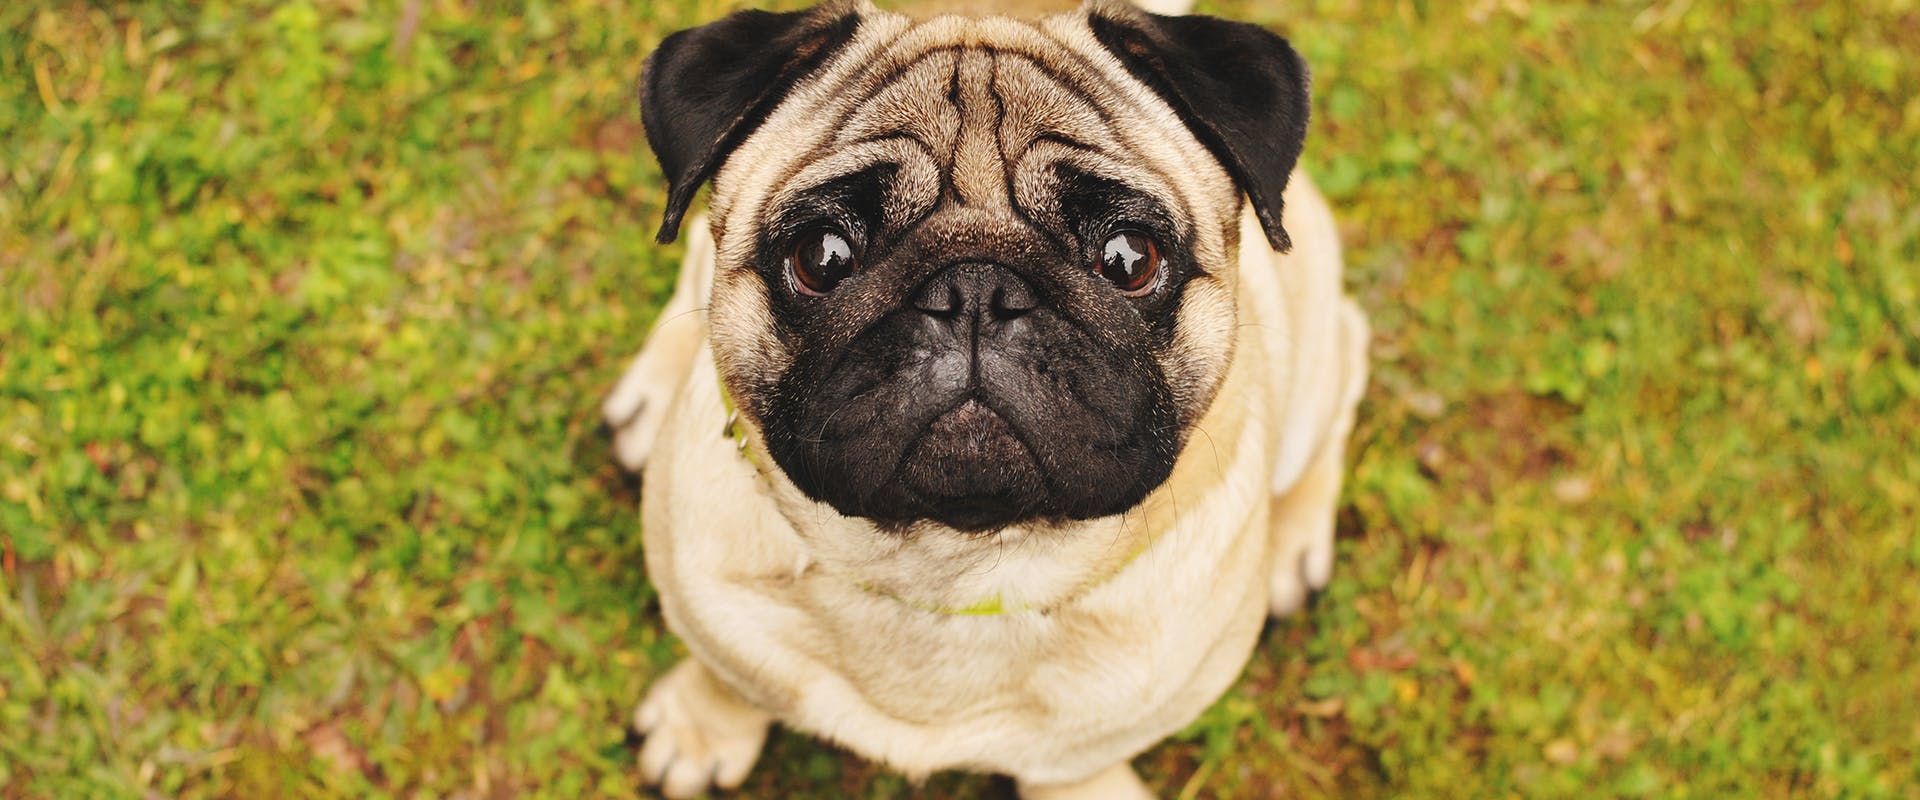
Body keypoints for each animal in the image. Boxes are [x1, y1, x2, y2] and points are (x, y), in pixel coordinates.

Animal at [606, 0, 1374, 790]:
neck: (953, 567)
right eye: (821, 256)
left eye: (1130, 258)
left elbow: (1079, 764)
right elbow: (731, 676)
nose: (974, 290)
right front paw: (702, 726)